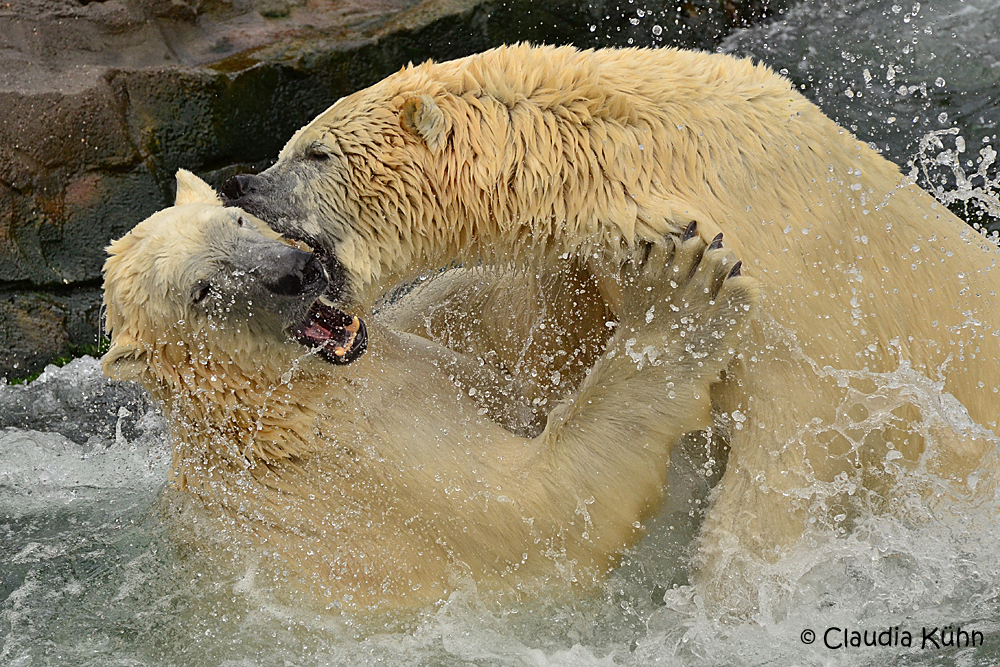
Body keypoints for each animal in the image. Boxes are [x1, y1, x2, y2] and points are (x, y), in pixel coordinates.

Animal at [101, 171, 756, 612]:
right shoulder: (373, 473)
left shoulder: (403, 356)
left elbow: (495, 348)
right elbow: (542, 515)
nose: (298, 271)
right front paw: (678, 287)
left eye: (234, 222)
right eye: (203, 290)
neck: (289, 405)